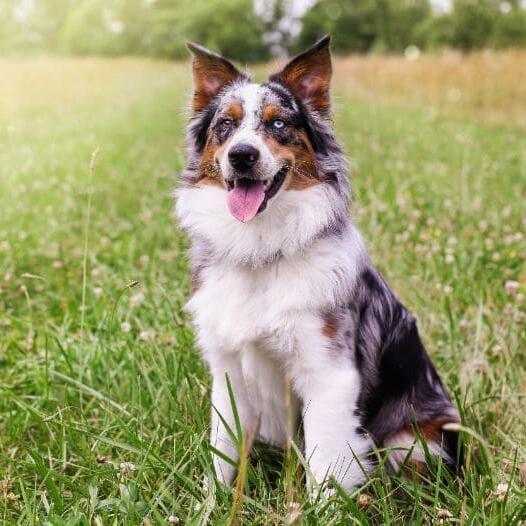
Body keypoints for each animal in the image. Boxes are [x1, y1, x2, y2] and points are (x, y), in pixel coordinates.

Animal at [176, 36, 462, 496]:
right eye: (225, 124)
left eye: (278, 124)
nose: (241, 155)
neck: (261, 249)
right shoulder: (228, 372)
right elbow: (222, 454)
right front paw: (212, 502)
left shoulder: (328, 372)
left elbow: (325, 465)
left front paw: (320, 505)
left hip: (416, 440)